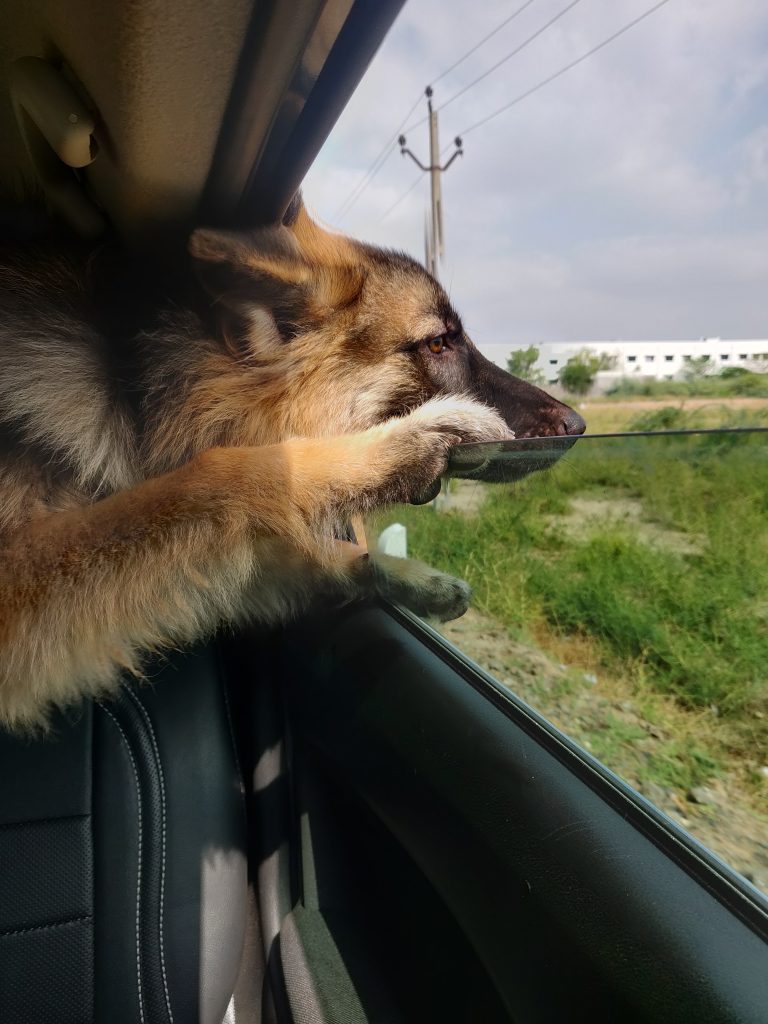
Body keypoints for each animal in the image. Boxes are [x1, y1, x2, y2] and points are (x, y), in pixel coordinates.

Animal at [0, 197, 581, 729]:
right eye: (438, 343)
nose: (577, 425)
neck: (135, 396)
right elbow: (225, 474)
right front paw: (403, 445)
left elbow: (304, 556)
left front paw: (407, 574)